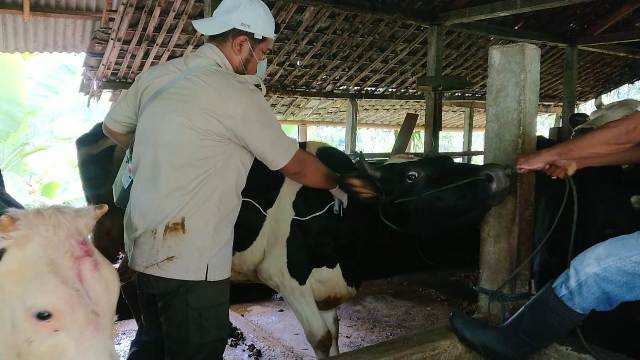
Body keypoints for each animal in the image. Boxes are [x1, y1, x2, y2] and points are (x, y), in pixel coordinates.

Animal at [79, 126, 510, 358]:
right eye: (413, 176)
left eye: (448, 162)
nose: (498, 173)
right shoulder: (285, 278)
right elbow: (320, 338)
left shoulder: (329, 291)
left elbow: (334, 338)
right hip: (108, 237)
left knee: (132, 281)